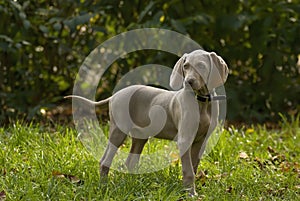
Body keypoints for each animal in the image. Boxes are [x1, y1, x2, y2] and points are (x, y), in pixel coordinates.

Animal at [67, 49, 229, 196]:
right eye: (186, 66)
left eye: (201, 66)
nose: (188, 82)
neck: (201, 102)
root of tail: (115, 95)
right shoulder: (185, 140)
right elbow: (188, 170)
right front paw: (190, 194)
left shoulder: (202, 141)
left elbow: (194, 167)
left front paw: (191, 191)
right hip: (119, 131)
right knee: (105, 160)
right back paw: (104, 187)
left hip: (140, 136)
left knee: (129, 162)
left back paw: (132, 185)